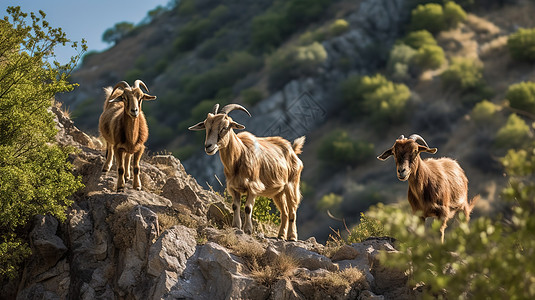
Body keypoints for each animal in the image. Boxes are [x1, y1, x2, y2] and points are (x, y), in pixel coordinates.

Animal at [189, 104, 306, 240]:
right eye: (206, 126)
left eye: (225, 127)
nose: (209, 146)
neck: (240, 154)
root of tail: (293, 150)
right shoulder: (234, 187)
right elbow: (235, 206)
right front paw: (236, 226)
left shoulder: (253, 186)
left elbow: (248, 208)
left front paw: (248, 230)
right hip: (278, 192)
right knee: (285, 212)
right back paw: (281, 235)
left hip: (292, 185)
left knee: (292, 210)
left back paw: (292, 237)